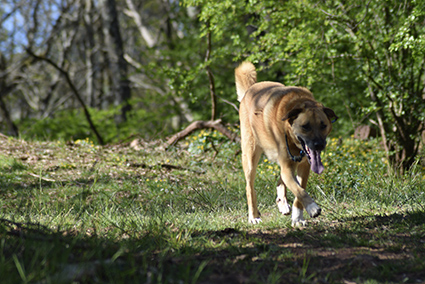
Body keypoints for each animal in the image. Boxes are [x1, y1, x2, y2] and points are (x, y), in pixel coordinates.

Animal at [234, 62, 336, 226]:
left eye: (323, 125)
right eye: (306, 126)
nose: (319, 145)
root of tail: (250, 89)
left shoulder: (303, 166)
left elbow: (298, 192)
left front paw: (298, 217)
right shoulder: (288, 166)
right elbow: (299, 190)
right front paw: (312, 207)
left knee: (280, 180)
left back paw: (282, 203)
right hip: (250, 157)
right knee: (250, 188)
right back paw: (253, 216)